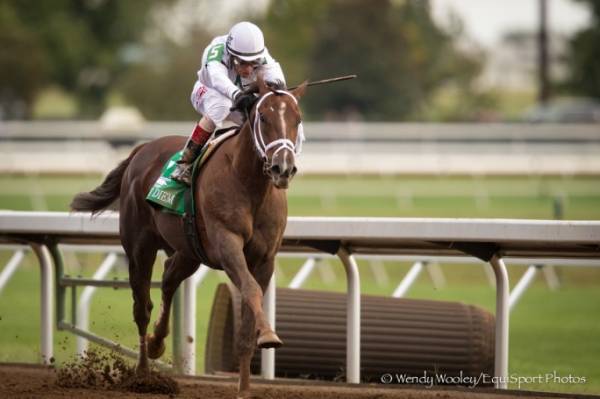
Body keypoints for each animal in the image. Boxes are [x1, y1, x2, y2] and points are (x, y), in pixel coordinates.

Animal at [72, 76, 308, 398]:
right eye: (263, 117)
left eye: (297, 119)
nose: (282, 168)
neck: (249, 185)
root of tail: (142, 149)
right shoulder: (227, 244)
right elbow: (250, 290)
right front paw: (269, 334)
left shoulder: (265, 258)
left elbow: (248, 317)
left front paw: (245, 387)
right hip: (138, 247)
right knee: (141, 307)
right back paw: (143, 374)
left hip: (188, 251)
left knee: (169, 279)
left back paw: (157, 343)